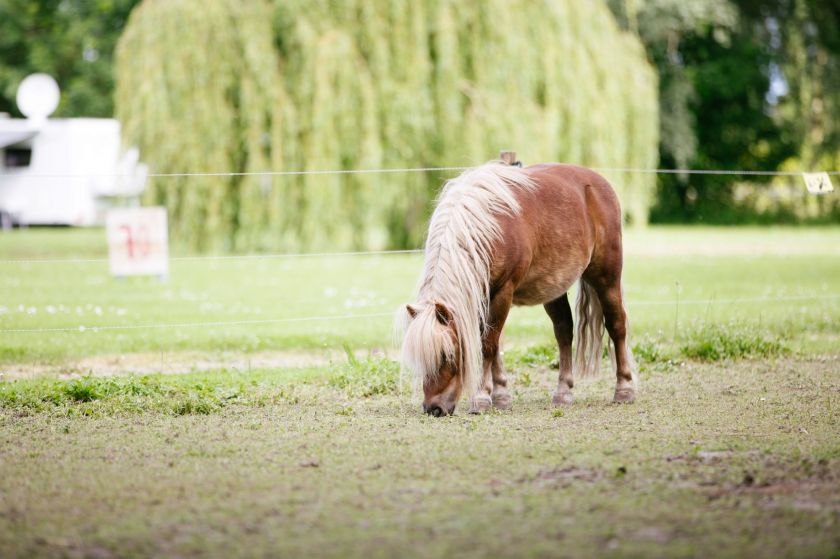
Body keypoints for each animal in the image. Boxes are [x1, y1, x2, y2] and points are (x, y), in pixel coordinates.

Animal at [398, 160, 632, 414]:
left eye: (446, 354)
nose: (434, 408)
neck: (486, 229)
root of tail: (599, 183)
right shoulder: (482, 296)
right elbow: (495, 345)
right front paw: (500, 395)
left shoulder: (502, 293)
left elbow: (488, 345)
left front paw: (481, 397)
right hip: (554, 288)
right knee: (564, 331)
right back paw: (563, 392)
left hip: (607, 278)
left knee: (617, 325)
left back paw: (625, 388)